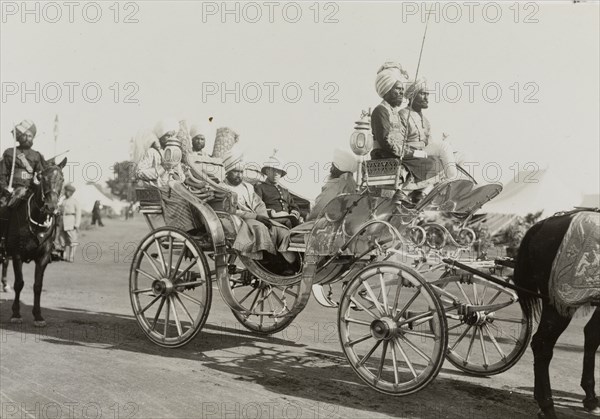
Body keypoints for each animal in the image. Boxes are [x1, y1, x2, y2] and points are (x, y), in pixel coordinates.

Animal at [0, 159, 66, 326]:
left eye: (62, 179)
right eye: (42, 178)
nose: (51, 206)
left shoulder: (43, 257)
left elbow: (37, 285)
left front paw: (38, 316)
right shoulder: (17, 255)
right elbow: (19, 283)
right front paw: (16, 313)